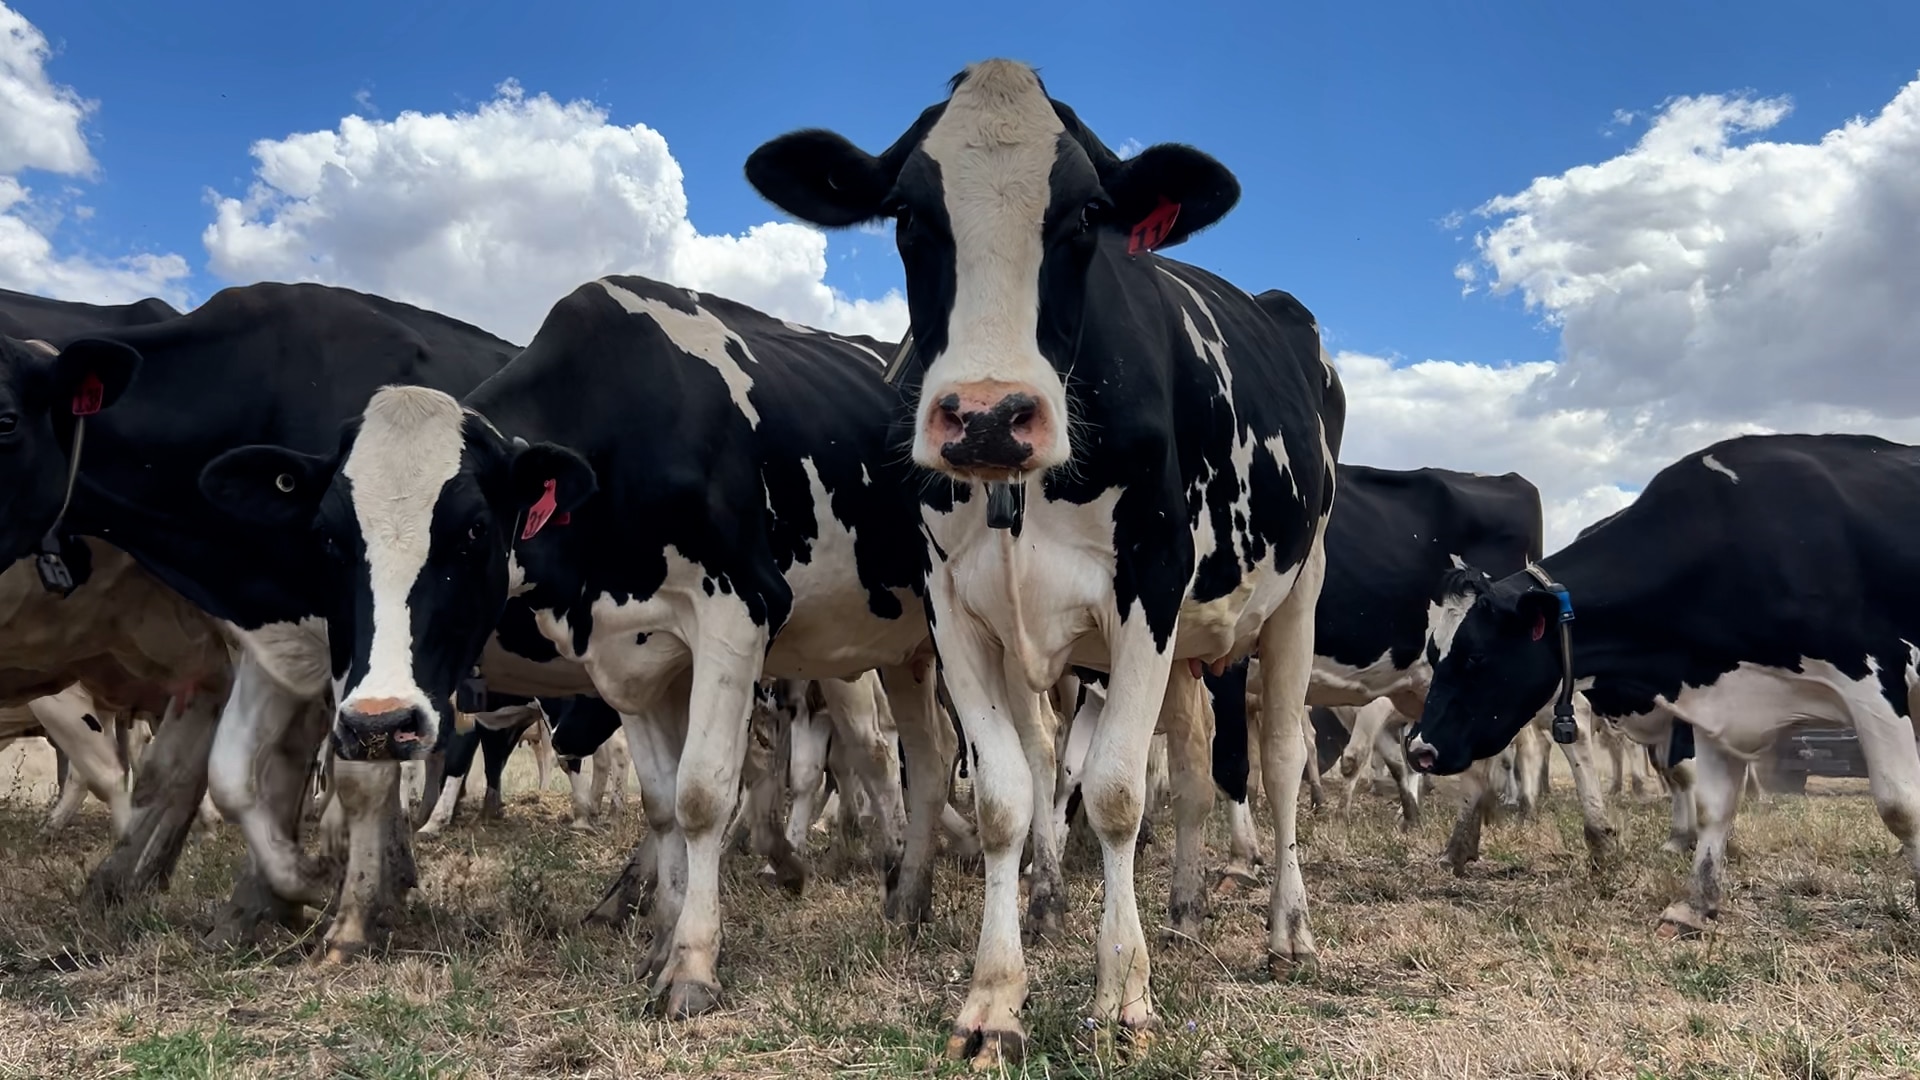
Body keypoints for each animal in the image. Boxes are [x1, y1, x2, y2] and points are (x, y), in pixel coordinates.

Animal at [196, 273, 958, 1012]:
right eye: (327, 537)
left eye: (474, 529)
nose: (380, 724)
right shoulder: (631, 657)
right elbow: (662, 803)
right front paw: (661, 943)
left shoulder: (736, 614)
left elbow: (701, 795)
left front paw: (693, 966)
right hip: (911, 652)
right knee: (929, 757)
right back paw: (908, 899)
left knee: (895, 755)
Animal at [744, 59, 1342, 1060]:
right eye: (908, 215)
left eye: (1085, 216)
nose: (988, 415)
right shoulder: (953, 604)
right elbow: (1005, 797)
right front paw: (995, 997)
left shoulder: (1150, 579)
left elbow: (1115, 792)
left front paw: (1123, 993)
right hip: (1183, 641)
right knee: (1186, 761)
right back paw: (1179, 906)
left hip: (1301, 584)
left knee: (1280, 753)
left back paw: (1289, 929)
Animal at [1405, 433, 1920, 936]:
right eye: (1434, 652)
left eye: (1475, 656)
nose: (1420, 749)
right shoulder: (1713, 697)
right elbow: (1714, 805)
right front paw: (1696, 905)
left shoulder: (1874, 678)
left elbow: (1900, 805)